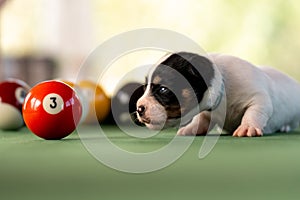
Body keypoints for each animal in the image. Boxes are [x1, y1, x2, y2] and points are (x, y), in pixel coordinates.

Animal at [136, 51, 300, 137]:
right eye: (145, 87)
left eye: (163, 90)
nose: (138, 108)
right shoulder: (206, 113)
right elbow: (200, 120)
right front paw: (190, 129)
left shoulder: (258, 99)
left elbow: (254, 112)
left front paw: (247, 127)